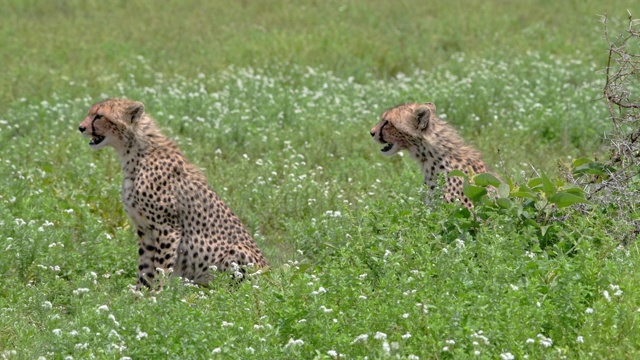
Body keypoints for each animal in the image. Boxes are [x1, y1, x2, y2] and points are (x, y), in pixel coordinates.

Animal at [79, 97, 268, 288]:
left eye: (99, 116)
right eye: (90, 113)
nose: (81, 127)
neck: (135, 153)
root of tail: (272, 274)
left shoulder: (168, 229)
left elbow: (161, 268)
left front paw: (157, 293)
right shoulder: (145, 230)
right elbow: (145, 269)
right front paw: (138, 295)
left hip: (236, 253)